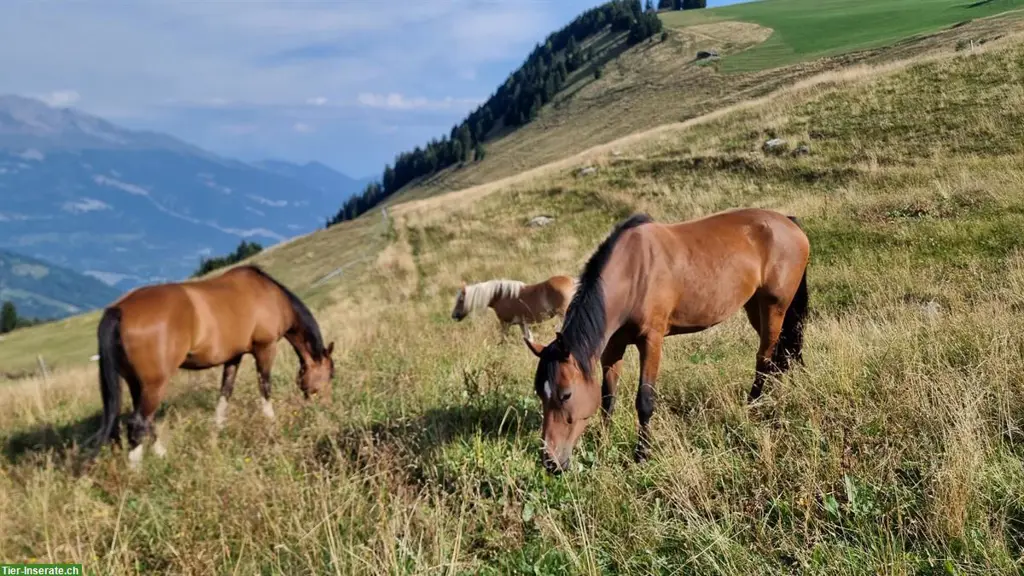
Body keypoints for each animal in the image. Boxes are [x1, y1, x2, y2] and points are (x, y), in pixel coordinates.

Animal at [91, 264, 335, 468]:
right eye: (329, 376)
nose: (326, 406)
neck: (271, 296)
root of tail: (119, 310)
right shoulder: (265, 348)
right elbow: (265, 387)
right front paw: (271, 422)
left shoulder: (234, 357)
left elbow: (225, 391)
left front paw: (217, 429)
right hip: (155, 384)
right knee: (138, 423)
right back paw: (138, 470)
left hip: (137, 383)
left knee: (145, 421)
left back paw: (162, 455)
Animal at [524, 208, 810, 474]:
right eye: (540, 393)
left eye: (565, 394)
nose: (550, 462)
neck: (633, 273)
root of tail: (788, 222)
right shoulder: (613, 346)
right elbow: (607, 399)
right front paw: (604, 446)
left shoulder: (652, 341)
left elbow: (644, 401)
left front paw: (641, 455)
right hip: (755, 306)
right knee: (784, 349)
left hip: (774, 307)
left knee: (765, 357)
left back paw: (753, 405)